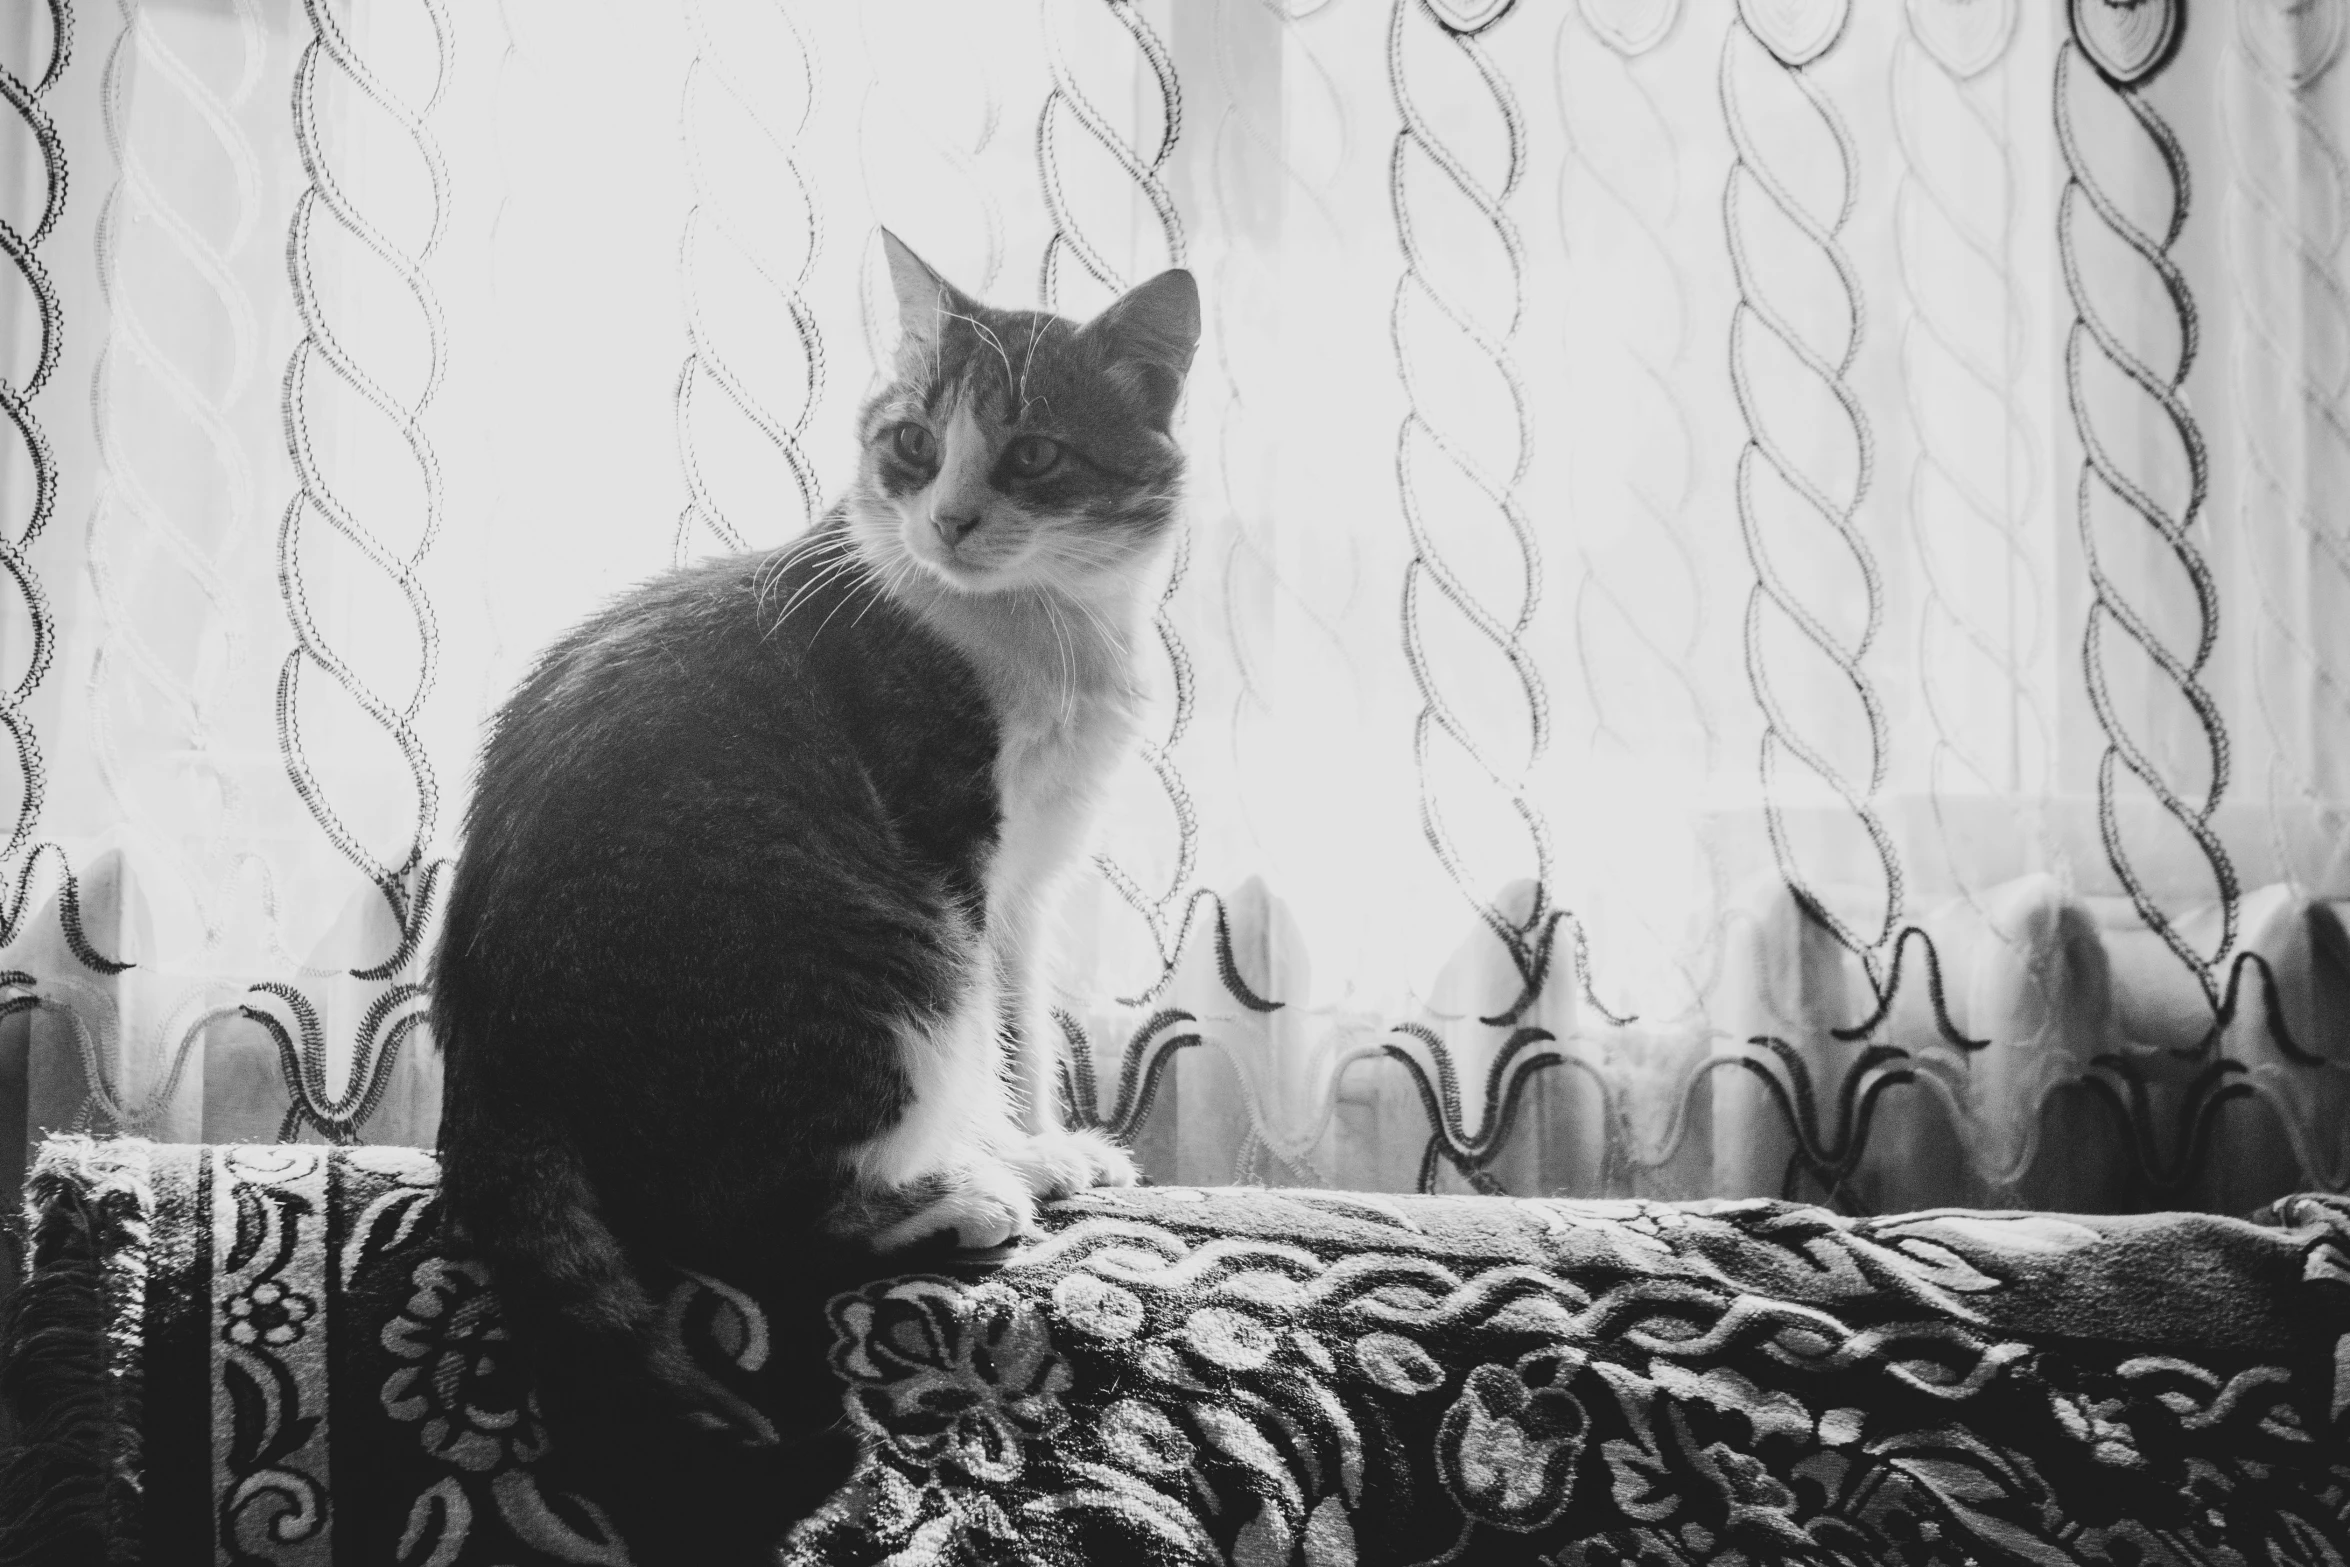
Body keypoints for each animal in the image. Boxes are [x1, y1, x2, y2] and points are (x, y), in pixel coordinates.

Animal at [427, 236, 1193, 1559]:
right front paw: (1016, 1155)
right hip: (875, 956)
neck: (1049, 630)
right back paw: (955, 1200)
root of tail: (490, 1042)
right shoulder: (956, 851)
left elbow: (1025, 1027)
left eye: (1034, 455)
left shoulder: (1032, 884)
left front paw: (1051, 1138)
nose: (948, 518)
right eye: (913, 443)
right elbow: (987, 1042)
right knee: (737, 1221)